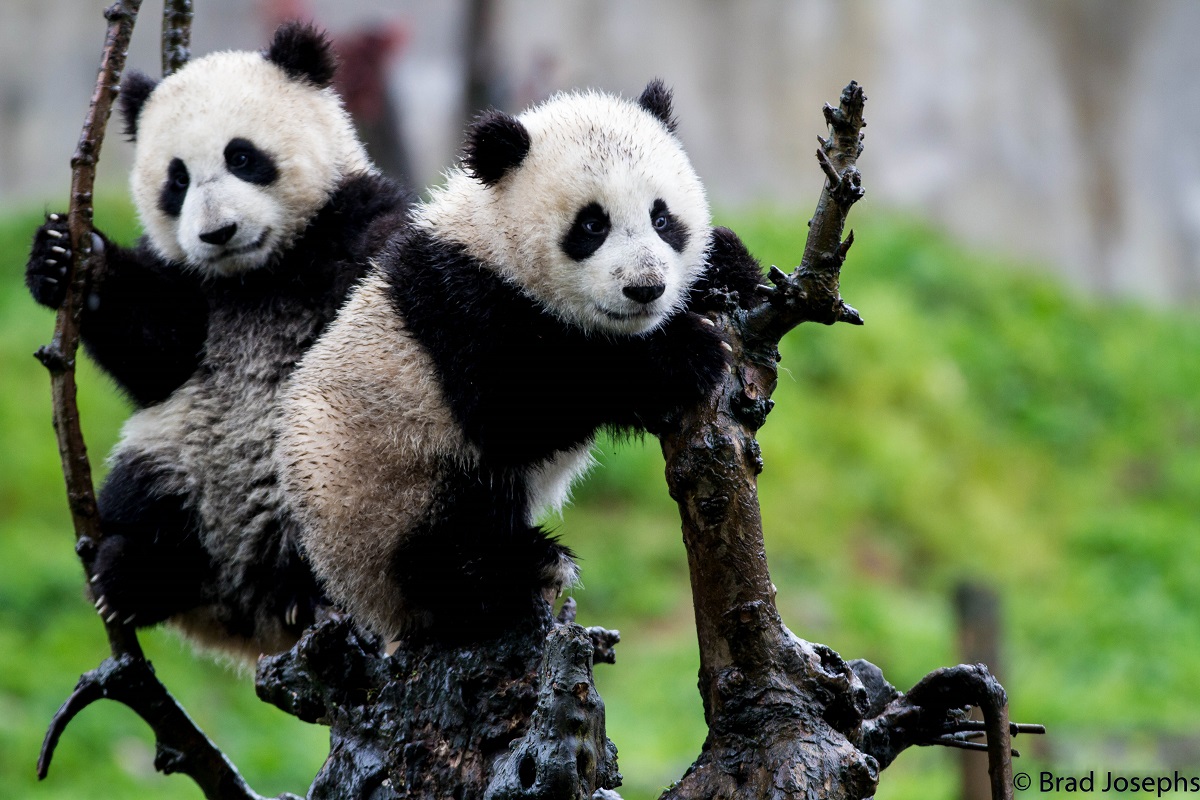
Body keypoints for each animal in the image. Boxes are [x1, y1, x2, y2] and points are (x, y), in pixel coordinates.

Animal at [24, 23, 412, 662]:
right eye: (176, 180)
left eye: (243, 157)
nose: (217, 233)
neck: (258, 276)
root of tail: (249, 616)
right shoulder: (191, 287)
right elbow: (158, 352)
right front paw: (64, 257)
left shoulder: (348, 224)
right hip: (179, 452)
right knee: (150, 493)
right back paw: (133, 574)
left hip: (326, 478)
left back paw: (308, 591)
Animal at [280, 81, 758, 642]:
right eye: (591, 225)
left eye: (662, 219)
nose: (645, 288)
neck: (493, 241)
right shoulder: (463, 308)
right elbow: (518, 407)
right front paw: (685, 354)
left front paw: (725, 266)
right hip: (380, 487)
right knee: (448, 537)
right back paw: (520, 566)